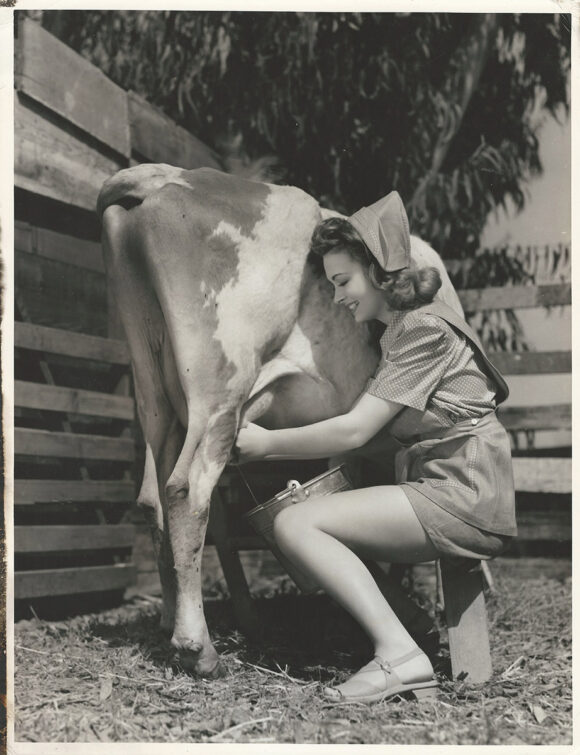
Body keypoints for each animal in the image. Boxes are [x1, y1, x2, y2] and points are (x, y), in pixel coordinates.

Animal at [98, 162, 462, 676]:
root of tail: (165, 176)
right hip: (220, 386)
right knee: (187, 489)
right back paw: (198, 647)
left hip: (154, 392)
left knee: (154, 497)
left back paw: (170, 623)